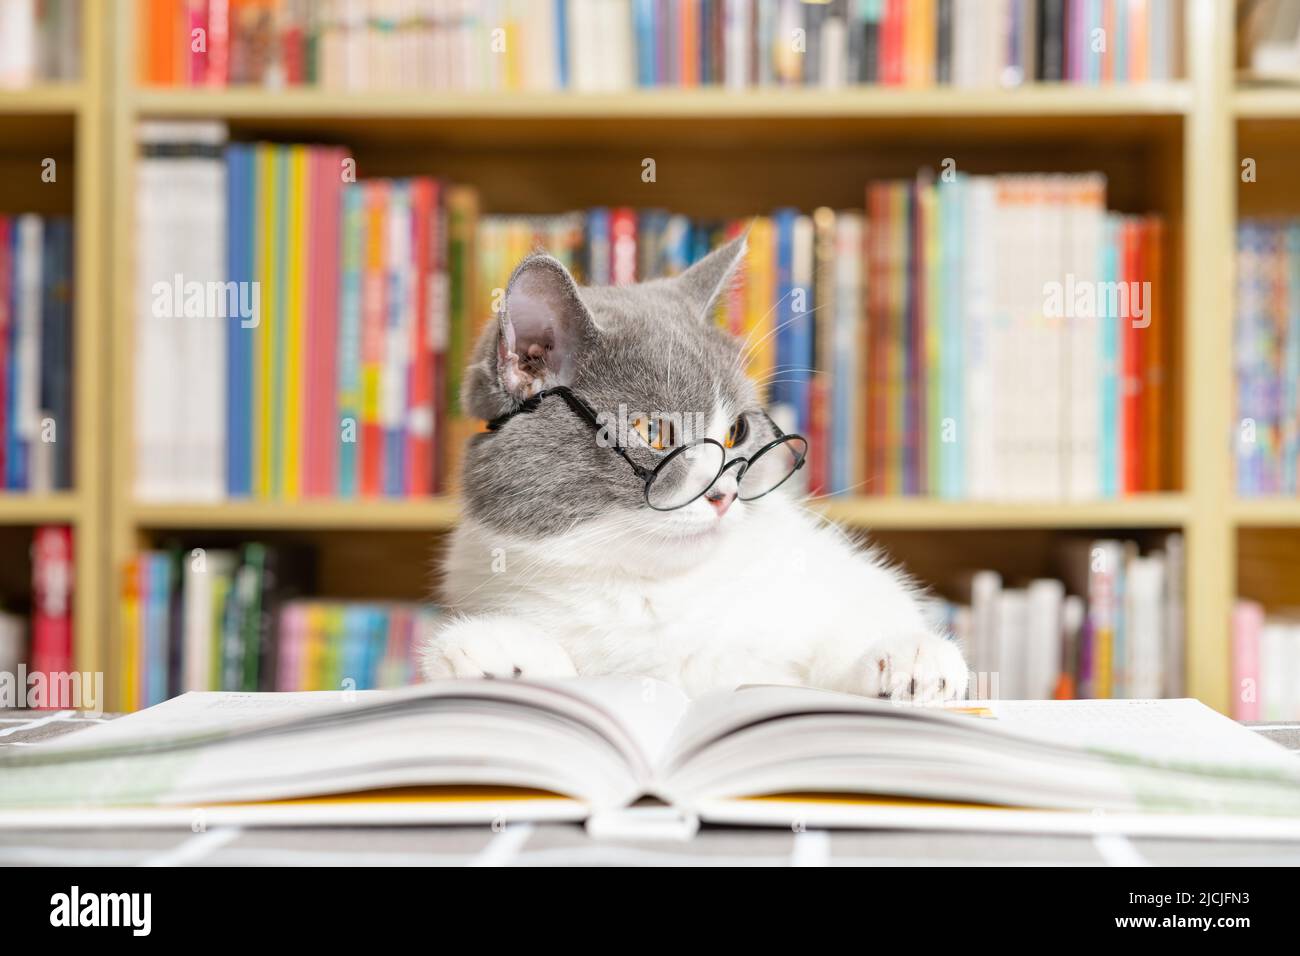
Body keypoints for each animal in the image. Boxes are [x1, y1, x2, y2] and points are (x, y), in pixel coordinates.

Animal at [421, 239, 972, 702]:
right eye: (652, 430)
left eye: (737, 430)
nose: (724, 494)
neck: (656, 593)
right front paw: (494, 651)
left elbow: (860, 615)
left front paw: (912, 657)